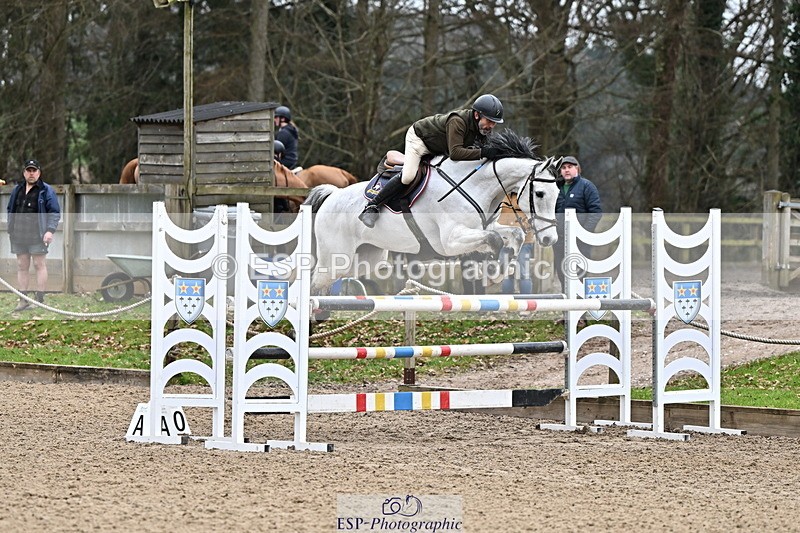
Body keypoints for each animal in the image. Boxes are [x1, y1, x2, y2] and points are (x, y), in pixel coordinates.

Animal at [302, 129, 561, 296]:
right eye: (539, 194)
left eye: (558, 192)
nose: (550, 239)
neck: (475, 184)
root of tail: (332, 194)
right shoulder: (450, 241)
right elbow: (494, 240)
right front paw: (492, 270)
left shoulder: (483, 226)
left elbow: (514, 235)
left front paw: (500, 268)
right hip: (336, 257)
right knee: (313, 283)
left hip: (365, 258)